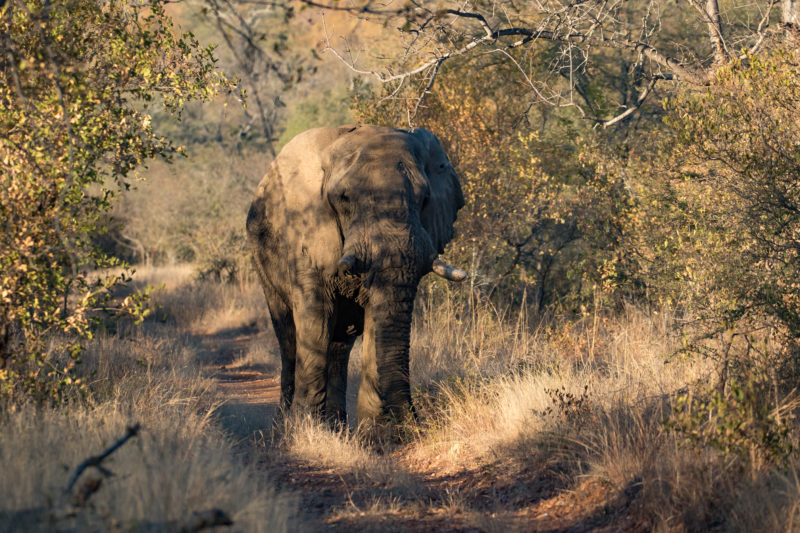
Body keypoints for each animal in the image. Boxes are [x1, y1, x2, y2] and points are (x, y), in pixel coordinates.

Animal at [246, 124, 466, 430]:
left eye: (424, 200)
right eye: (344, 199)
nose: (414, 422)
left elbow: (376, 318)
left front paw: (380, 435)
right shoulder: (305, 234)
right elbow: (316, 317)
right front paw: (305, 430)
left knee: (341, 343)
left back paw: (335, 427)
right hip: (263, 261)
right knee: (288, 334)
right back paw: (286, 424)